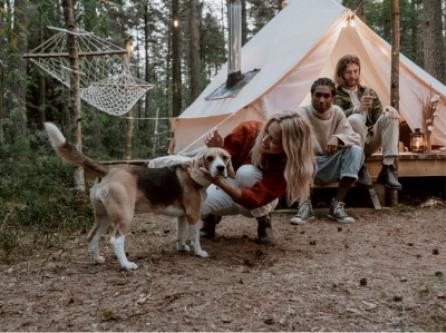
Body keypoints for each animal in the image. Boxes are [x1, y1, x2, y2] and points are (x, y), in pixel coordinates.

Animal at [44, 122, 235, 270]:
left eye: (224, 157)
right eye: (210, 158)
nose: (220, 168)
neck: (193, 173)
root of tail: (108, 170)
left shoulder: (182, 216)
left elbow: (181, 234)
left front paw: (182, 248)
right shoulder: (193, 215)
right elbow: (194, 237)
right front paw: (199, 252)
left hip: (103, 216)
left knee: (92, 236)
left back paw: (96, 259)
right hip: (125, 215)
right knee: (116, 240)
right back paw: (127, 265)